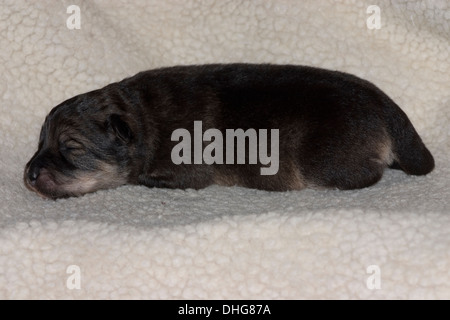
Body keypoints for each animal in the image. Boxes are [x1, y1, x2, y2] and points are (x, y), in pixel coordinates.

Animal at [22, 63, 434, 199]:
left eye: (71, 148)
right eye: (40, 142)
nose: (28, 176)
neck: (142, 116)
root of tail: (386, 104)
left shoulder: (185, 169)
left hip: (327, 158)